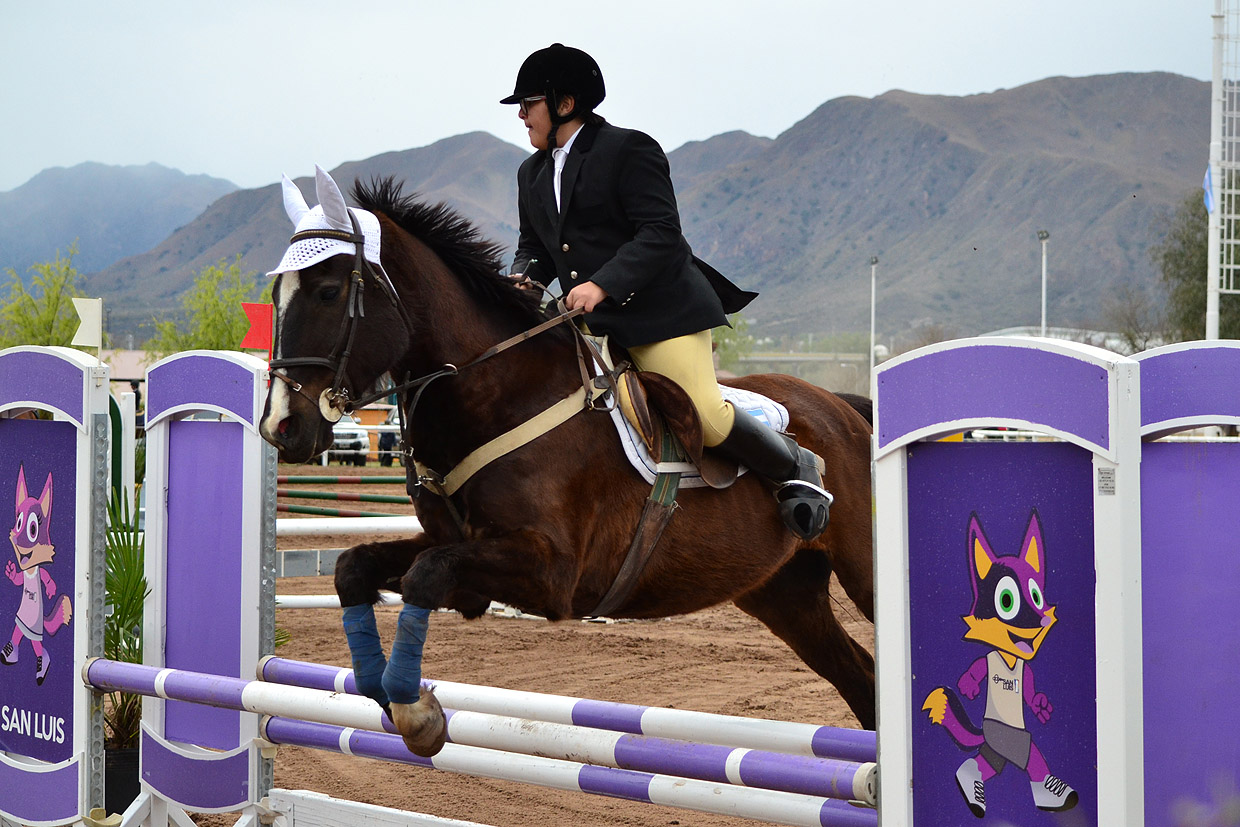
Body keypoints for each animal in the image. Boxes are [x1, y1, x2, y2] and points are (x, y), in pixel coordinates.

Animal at [257, 164, 877, 753]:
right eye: (276, 295)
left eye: (329, 291)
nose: (280, 426)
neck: (495, 390)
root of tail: (843, 407)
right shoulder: (457, 550)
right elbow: (355, 566)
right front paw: (389, 695)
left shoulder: (551, 571)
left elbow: (425, 575)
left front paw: (416, 712)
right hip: (782, 592)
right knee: (861, 678)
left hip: (859, 570)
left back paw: (805, 481)